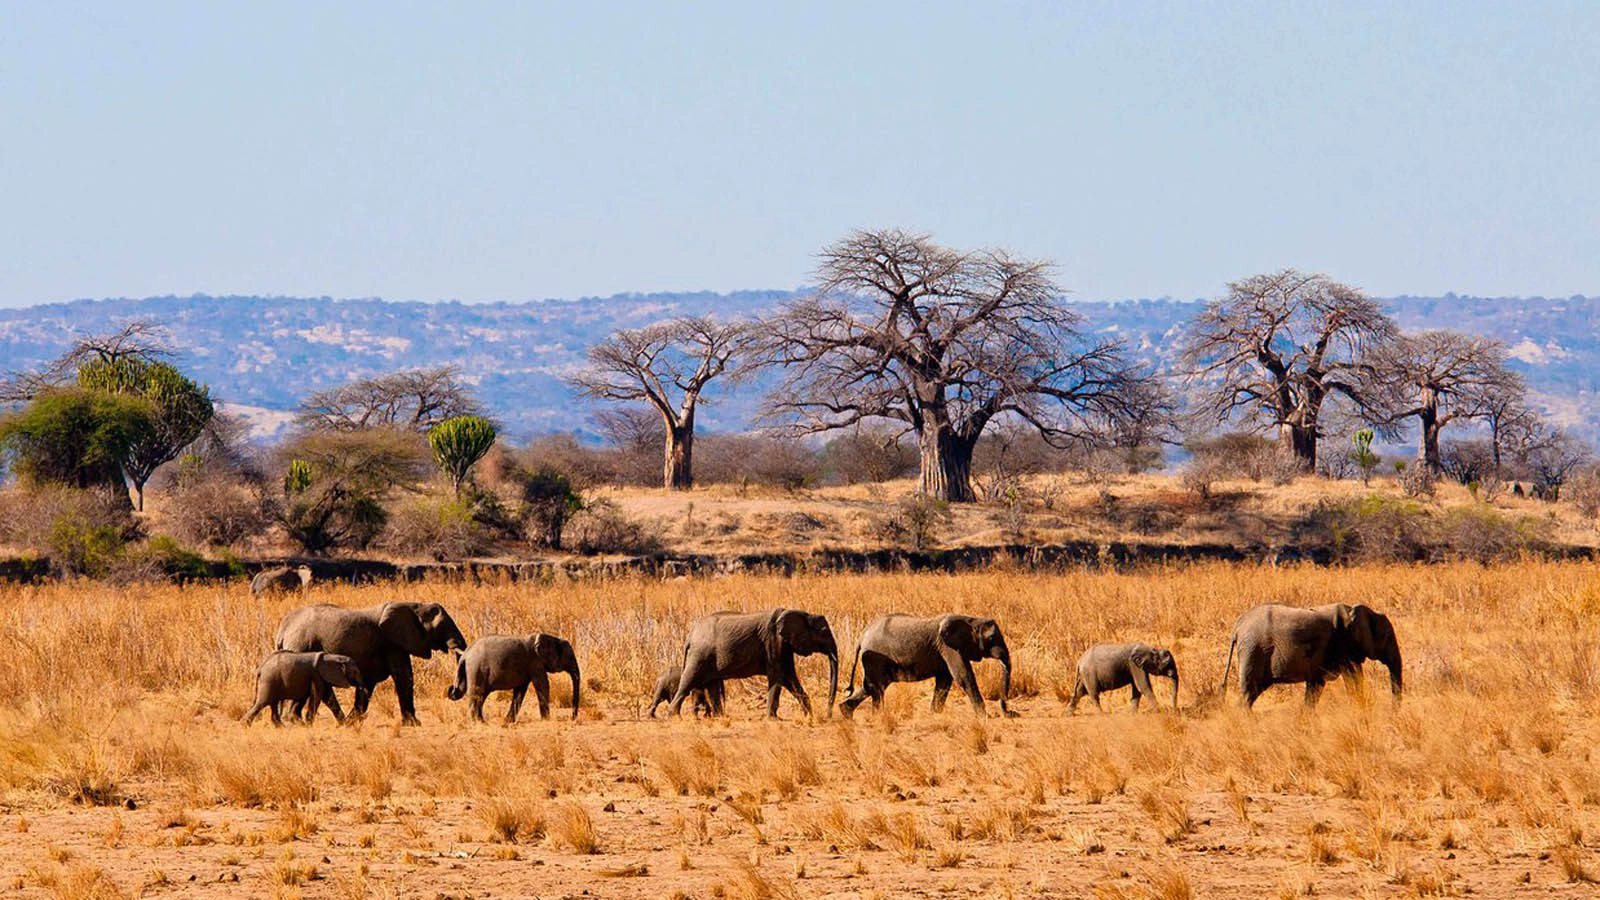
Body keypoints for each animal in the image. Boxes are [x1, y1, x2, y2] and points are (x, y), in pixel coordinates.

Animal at [270, 598, 464, 723]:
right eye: (440, 627)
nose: (450, 690)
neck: (414, 605)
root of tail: (282, 629)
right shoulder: (391, 643)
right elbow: (404, 677)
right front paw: (414, 724)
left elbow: (369, 683)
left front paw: (355, 721)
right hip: (302, 646)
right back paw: (297, 722)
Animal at [444, 630, 582, 720]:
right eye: (570, 657)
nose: (572, 717)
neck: (552, 638)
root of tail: (465, 655)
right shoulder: (535, 662)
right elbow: (543, 685)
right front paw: (546, 720)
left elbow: (521, 690)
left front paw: (508, 722)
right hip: (476, 669)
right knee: (477, 694)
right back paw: (479, 722)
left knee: (481, 696)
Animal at [665, 605, 838, 717]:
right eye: (824, 632)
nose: (827, 716)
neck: (803, 613)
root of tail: (690, 636)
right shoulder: (773, 642)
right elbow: (778, 677)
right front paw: (772, 719)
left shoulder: (784, 647)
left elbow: (790, 678)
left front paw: (809, 716)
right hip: (700, 655)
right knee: (688, 681)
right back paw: (674, 716)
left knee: (711, 685)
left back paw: (719, 717)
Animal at [838, 608, 1011, 714]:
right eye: (991, 638)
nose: (1009, 712)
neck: (971, 619)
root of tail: (862, 636)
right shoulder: (949, 647)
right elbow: (963, 676)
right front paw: (983, 716)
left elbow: (945, 680)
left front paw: (935, 714)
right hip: (875, 659)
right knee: (876, 687)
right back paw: (877, 716)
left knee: (871, 686)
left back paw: (846, 713)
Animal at [1222, 598, 1401, 704]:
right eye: (1387, 637)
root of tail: (1237, 626)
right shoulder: (1342, 644)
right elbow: (1353, 676)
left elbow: (1315, 686)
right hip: (1253, 650)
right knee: (1249, 691)